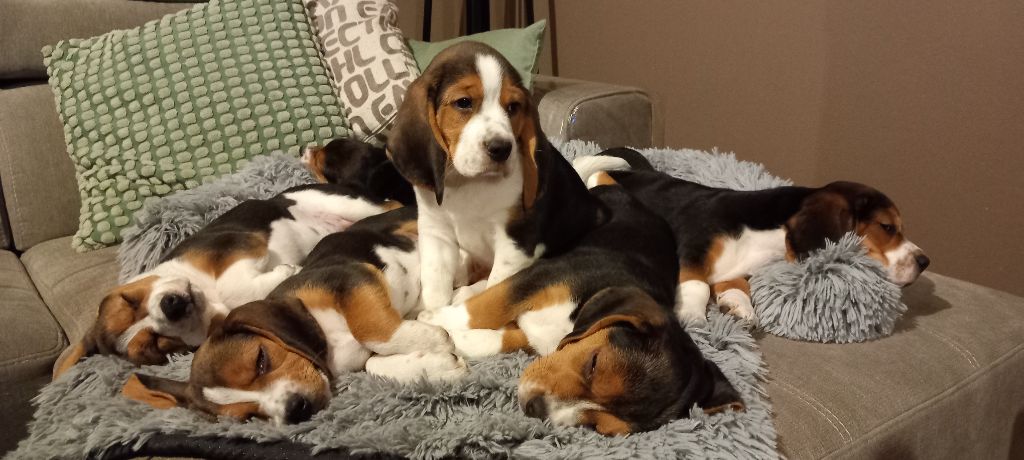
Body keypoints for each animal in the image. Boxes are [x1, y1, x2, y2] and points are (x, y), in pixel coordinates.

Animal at [122, 205, 468, 424]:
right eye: (249, 416)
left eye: (261, 360)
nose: (294, 410)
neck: (326, 340)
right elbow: (374, 364)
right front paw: (436, 363)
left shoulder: (347, 277)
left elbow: (371, 330)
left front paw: (434, 338)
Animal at [387, 40, 602, 311]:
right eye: (464, 102)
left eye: (513, 107)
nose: (501, 148)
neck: (468, 183)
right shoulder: (435, 232)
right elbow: (436, 287)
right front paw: (433, 313)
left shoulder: (515, 243)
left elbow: (494, 288)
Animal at [415, 183, 745, 434]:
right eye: (594, 363)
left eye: (598, 427)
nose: (535, 408)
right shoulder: (541, 275)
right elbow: (491, 304)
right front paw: (434, 317)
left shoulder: (537, 335)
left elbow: (501, 337)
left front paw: (454, 342)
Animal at [573, 147, 933, 325]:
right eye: (888, 228)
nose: (925, 261)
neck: (766, 237)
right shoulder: (691, 247)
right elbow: (697, 284)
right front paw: (692, 314)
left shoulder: (734, 268)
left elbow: (736, 284)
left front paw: (738, 305)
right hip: (601, 179)